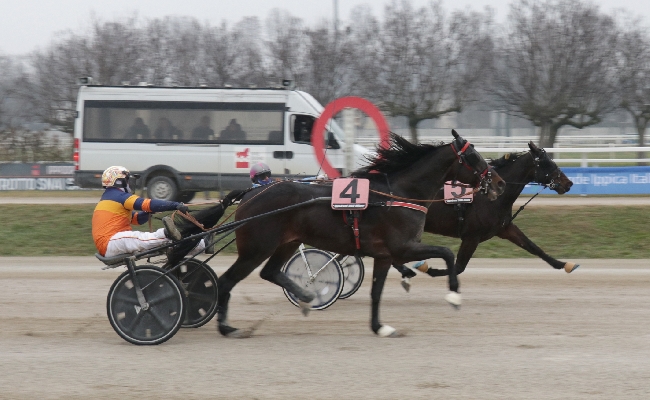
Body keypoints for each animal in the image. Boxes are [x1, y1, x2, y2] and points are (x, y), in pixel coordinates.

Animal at [215, 130, 504, 338]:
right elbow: (446, 253)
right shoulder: (402, 247)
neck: (398, 195)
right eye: (475, 156)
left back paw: (306, 298)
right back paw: (226, 327)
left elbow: (376, 292)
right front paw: (454, 295)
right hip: (256, 248)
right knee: (226, 281)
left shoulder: (385, 255)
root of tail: (250, 195)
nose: (499, 184)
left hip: (287, 243)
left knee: (270, 272)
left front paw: (380, 327)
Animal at [392, 141, 576, 284]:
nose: (568, 183)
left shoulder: (505, 228)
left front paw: (564, 264)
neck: (493, 198)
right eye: (547, 163)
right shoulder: (471, 237)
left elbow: (534, 247)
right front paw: (428, 268)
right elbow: (458, 267)